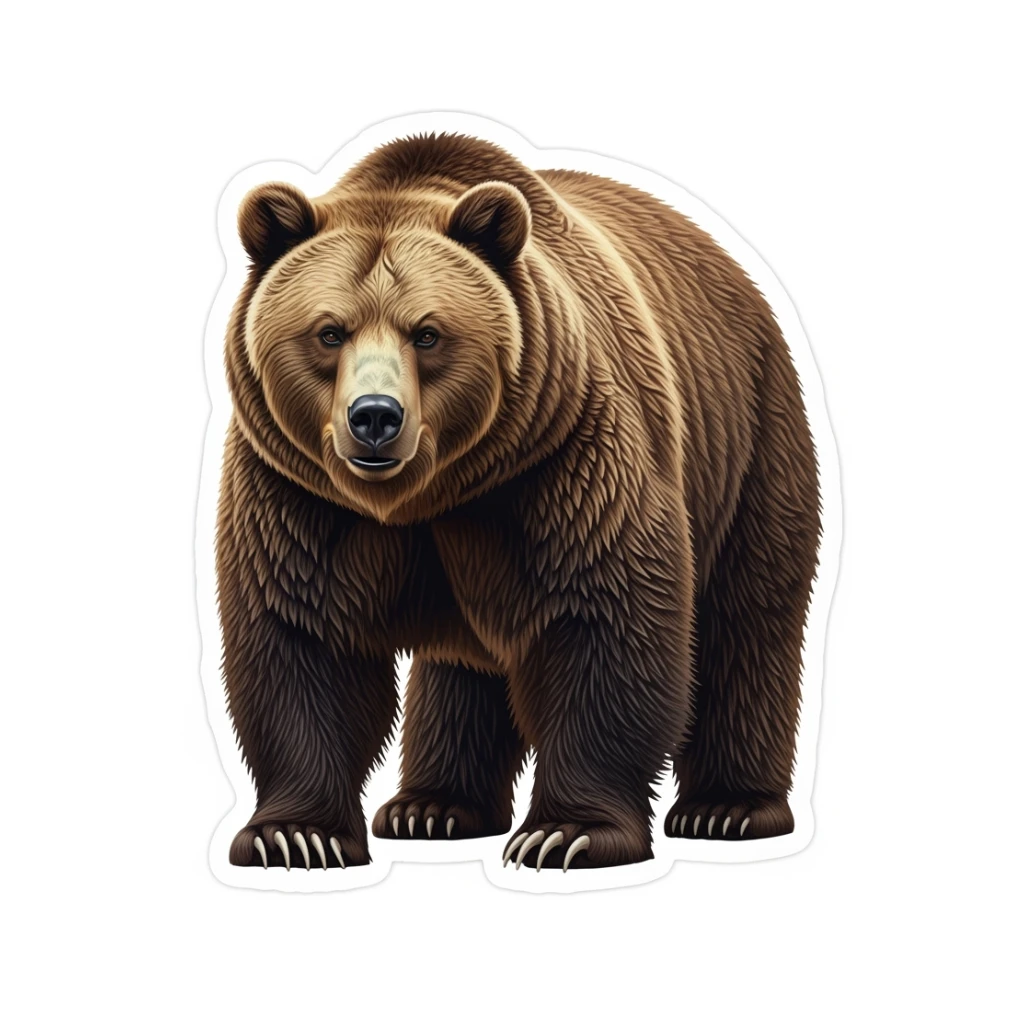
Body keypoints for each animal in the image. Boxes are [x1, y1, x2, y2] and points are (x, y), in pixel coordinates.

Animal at [216, 132, 821, 872]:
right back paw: (432, 807)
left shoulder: (561, 457)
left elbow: (604, 616)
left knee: (747, 618)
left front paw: (567, 832)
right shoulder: (298, 491)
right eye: (329, 330)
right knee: (462, 669)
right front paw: (294, 834)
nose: (375, 417)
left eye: (427, 332)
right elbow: (299, 635)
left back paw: (728, 809)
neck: (430, 495)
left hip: (750, 437)